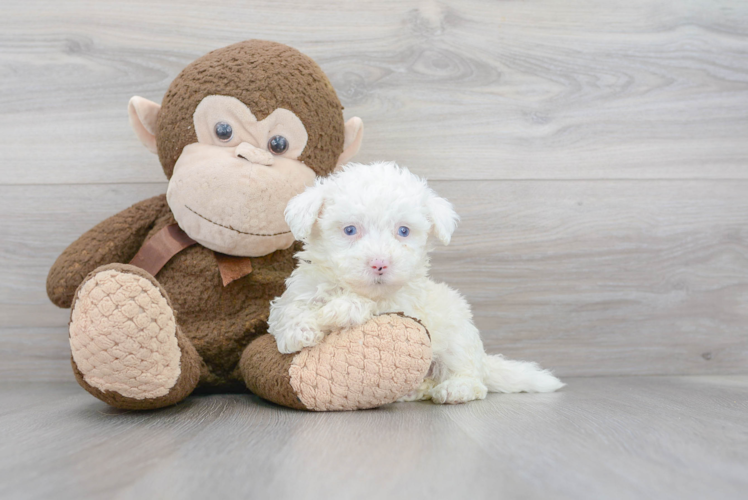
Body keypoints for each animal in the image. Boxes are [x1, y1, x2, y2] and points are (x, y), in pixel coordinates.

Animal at [266, 162, 564, 404]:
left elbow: (367, 307)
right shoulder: (302, 288)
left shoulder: (402, 306)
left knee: (472, 378)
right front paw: (298, 331)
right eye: (350, 230)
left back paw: (456, 389)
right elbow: (289, 307)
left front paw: (340, 310)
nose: (380, 263)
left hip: (458, 337)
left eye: (403, 231)